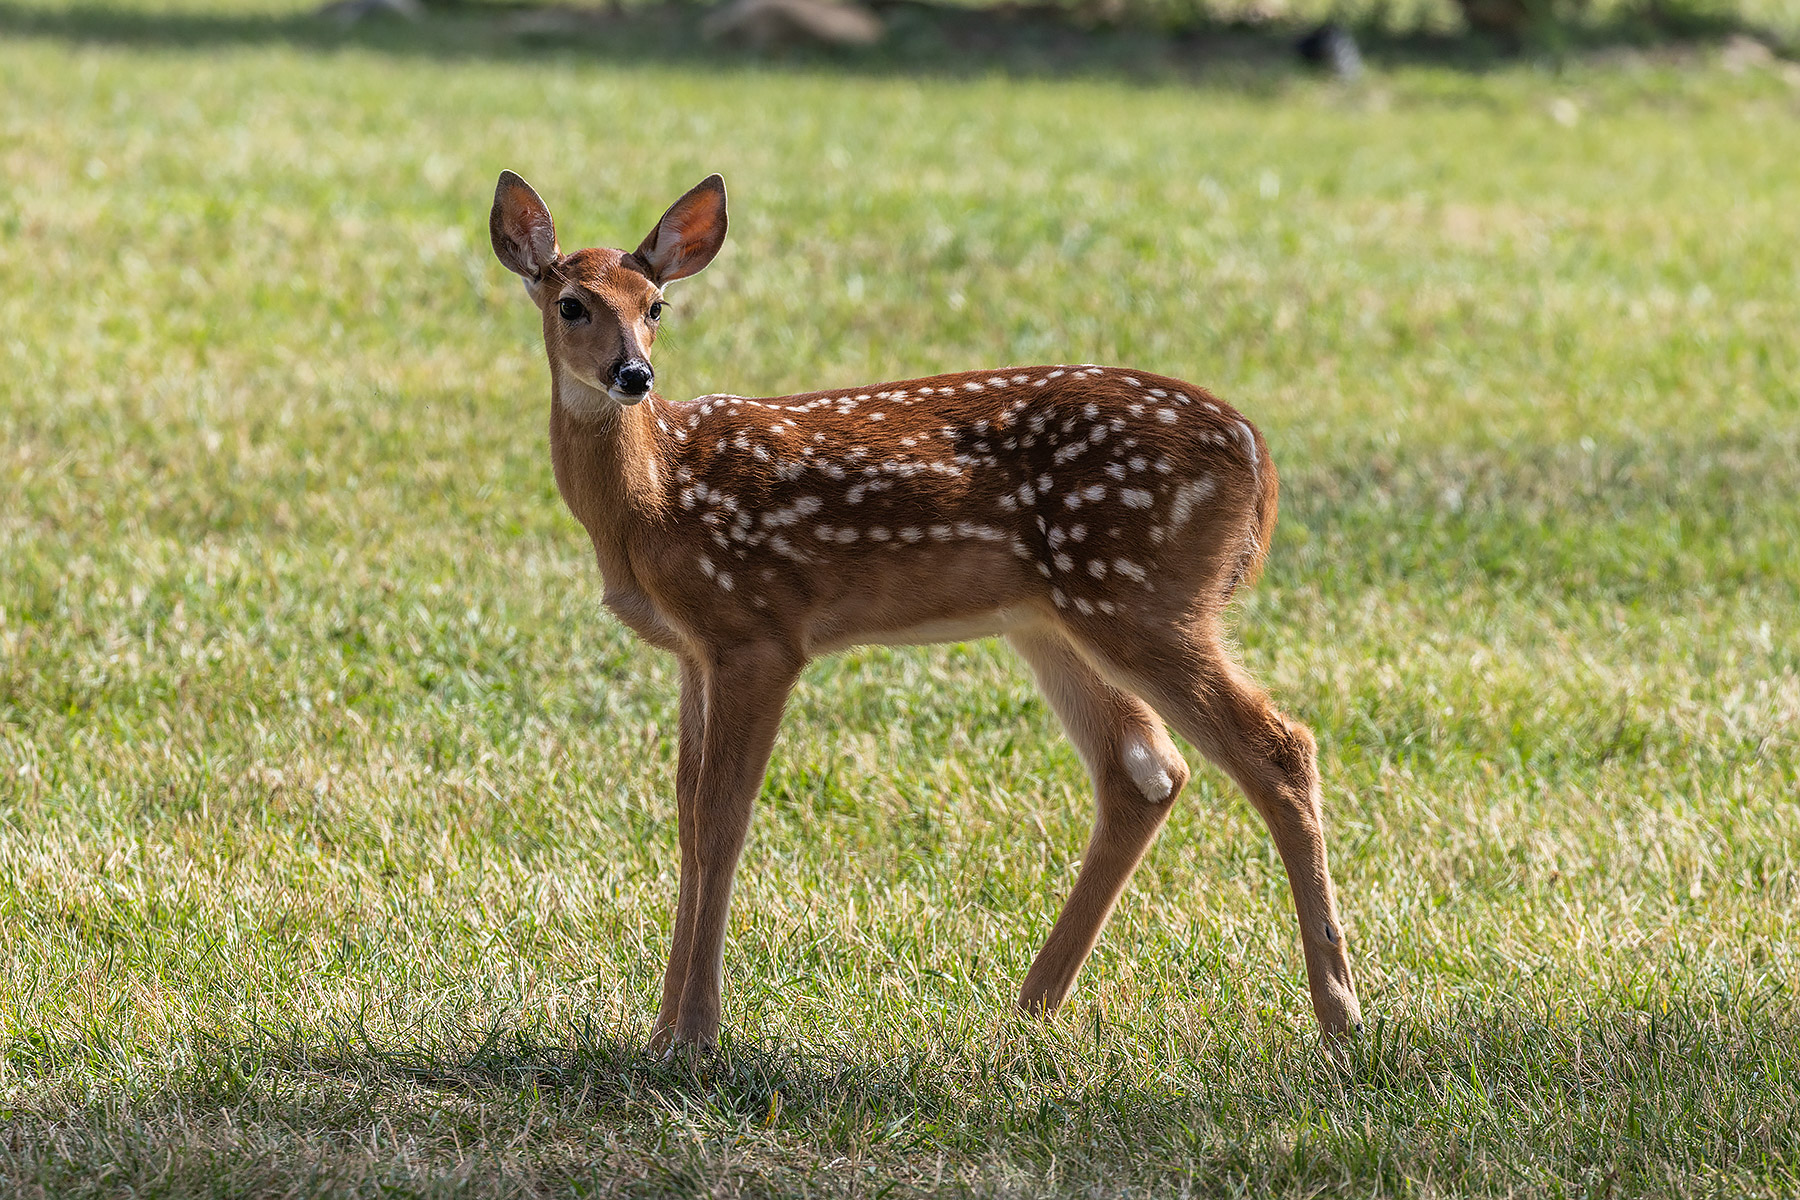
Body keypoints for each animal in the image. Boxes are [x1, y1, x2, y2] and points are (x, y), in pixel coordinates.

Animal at [488, 170, 1363, 1053]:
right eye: (573, 304)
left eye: (656, 305)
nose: (634, 375)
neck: (656, 497)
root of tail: (1258, 454)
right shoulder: (696, 650)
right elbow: (687, 815)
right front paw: (664, 1029)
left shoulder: (759, 629)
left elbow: (721, 818)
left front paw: (697, 1032)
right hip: (1055, 618)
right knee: (1144, 769)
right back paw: (1030, 1007)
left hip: (1143, 593)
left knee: (1277, 747)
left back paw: (1340, 1018)